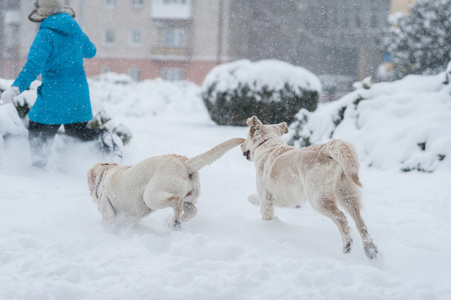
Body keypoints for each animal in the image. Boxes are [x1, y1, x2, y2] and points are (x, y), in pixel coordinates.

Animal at [88, 138, 244, 232]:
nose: (90, 193)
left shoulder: (107, 211)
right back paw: (173, 223)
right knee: (191, 209)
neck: (104, 175)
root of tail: (185, 164)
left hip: (151, 196)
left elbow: (108, 223)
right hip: (189, 197)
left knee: (176, 201)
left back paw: (174, 222)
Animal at [242, 116, 380, 258]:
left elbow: (263, 209)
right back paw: (370, 249)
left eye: (246, 138)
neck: (268, 145)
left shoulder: (266, 198)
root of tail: (325, 149)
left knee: (341, 217)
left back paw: (347, 244)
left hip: (318, 198)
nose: (241, 145)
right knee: (360, 222)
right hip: (346, 194)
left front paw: (265, 225)